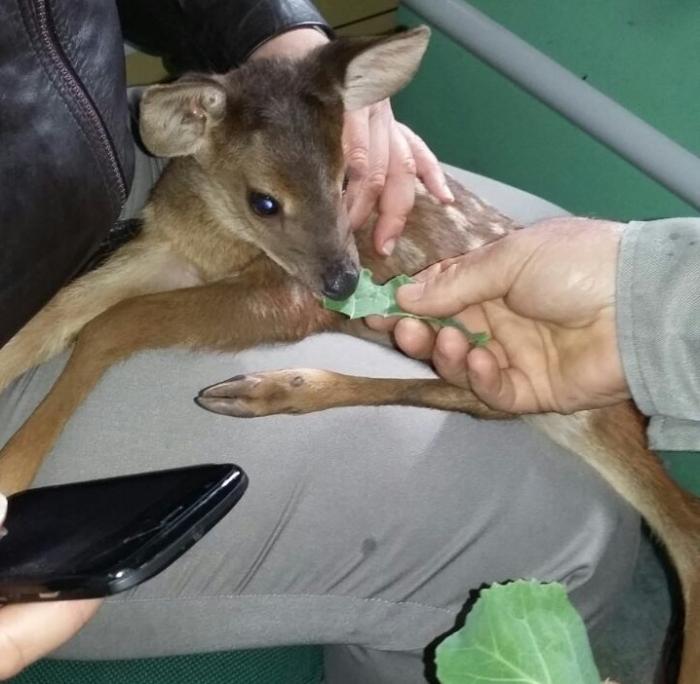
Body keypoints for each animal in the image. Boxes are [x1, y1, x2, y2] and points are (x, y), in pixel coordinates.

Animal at [0, 26, 696, 684]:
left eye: (346, 179)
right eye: (265, 201)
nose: (344, 282)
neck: (213, 236)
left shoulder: (286, 297)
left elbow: (110, 324)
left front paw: (12, 470)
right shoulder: (165, 250)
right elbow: (61, 310)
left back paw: (261, 388)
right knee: (479, 399)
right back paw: (265, 388)